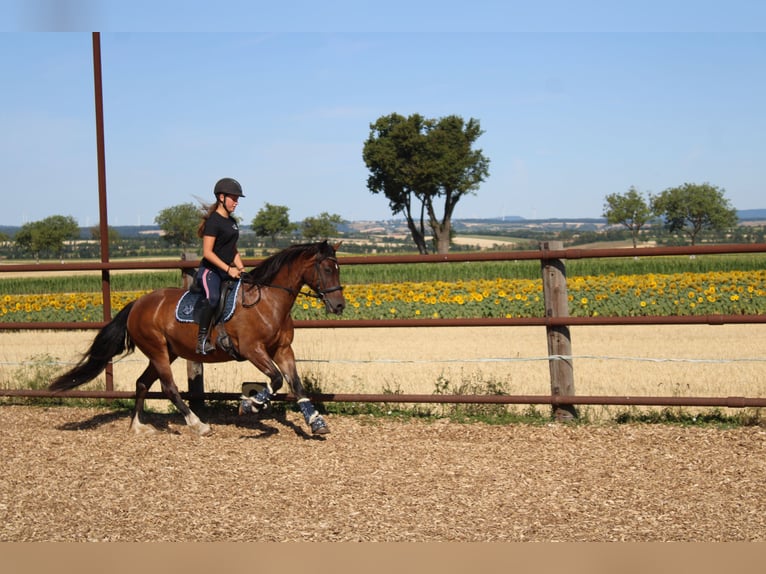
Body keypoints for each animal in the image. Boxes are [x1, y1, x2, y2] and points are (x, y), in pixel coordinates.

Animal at [49, 240, 346, 436]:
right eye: (327, 269)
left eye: (338, 268)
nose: (339, 306)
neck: (268, 301)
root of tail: (137, 304)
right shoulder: (252, 350)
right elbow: (275, 380)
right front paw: (249, 405)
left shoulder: (282, 349)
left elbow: (296, 385)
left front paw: (316, 423)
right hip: (158, 351)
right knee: (168, 387)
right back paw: (198, 424)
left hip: (166, 352)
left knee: (142, 382)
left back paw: (138, 426)